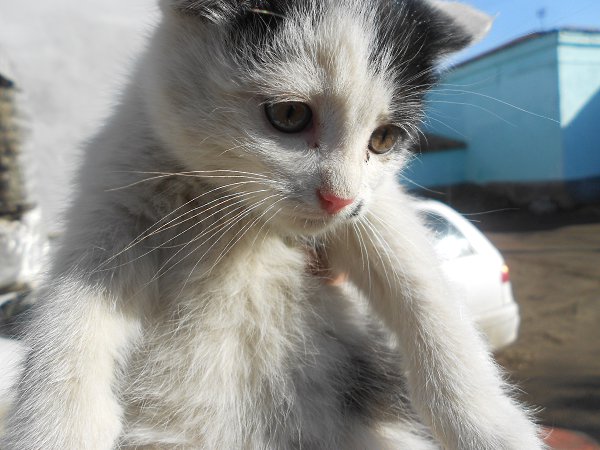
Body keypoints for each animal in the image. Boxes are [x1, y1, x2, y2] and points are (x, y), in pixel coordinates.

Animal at [2, 0, 545, 448]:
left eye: (384, 139)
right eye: (288, 114)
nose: (338, 198)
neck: (237, 216)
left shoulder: (376, 207)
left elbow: (423, 290)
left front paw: (491, 426)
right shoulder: (115, 193)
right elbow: (72, 312)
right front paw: (55, 427)